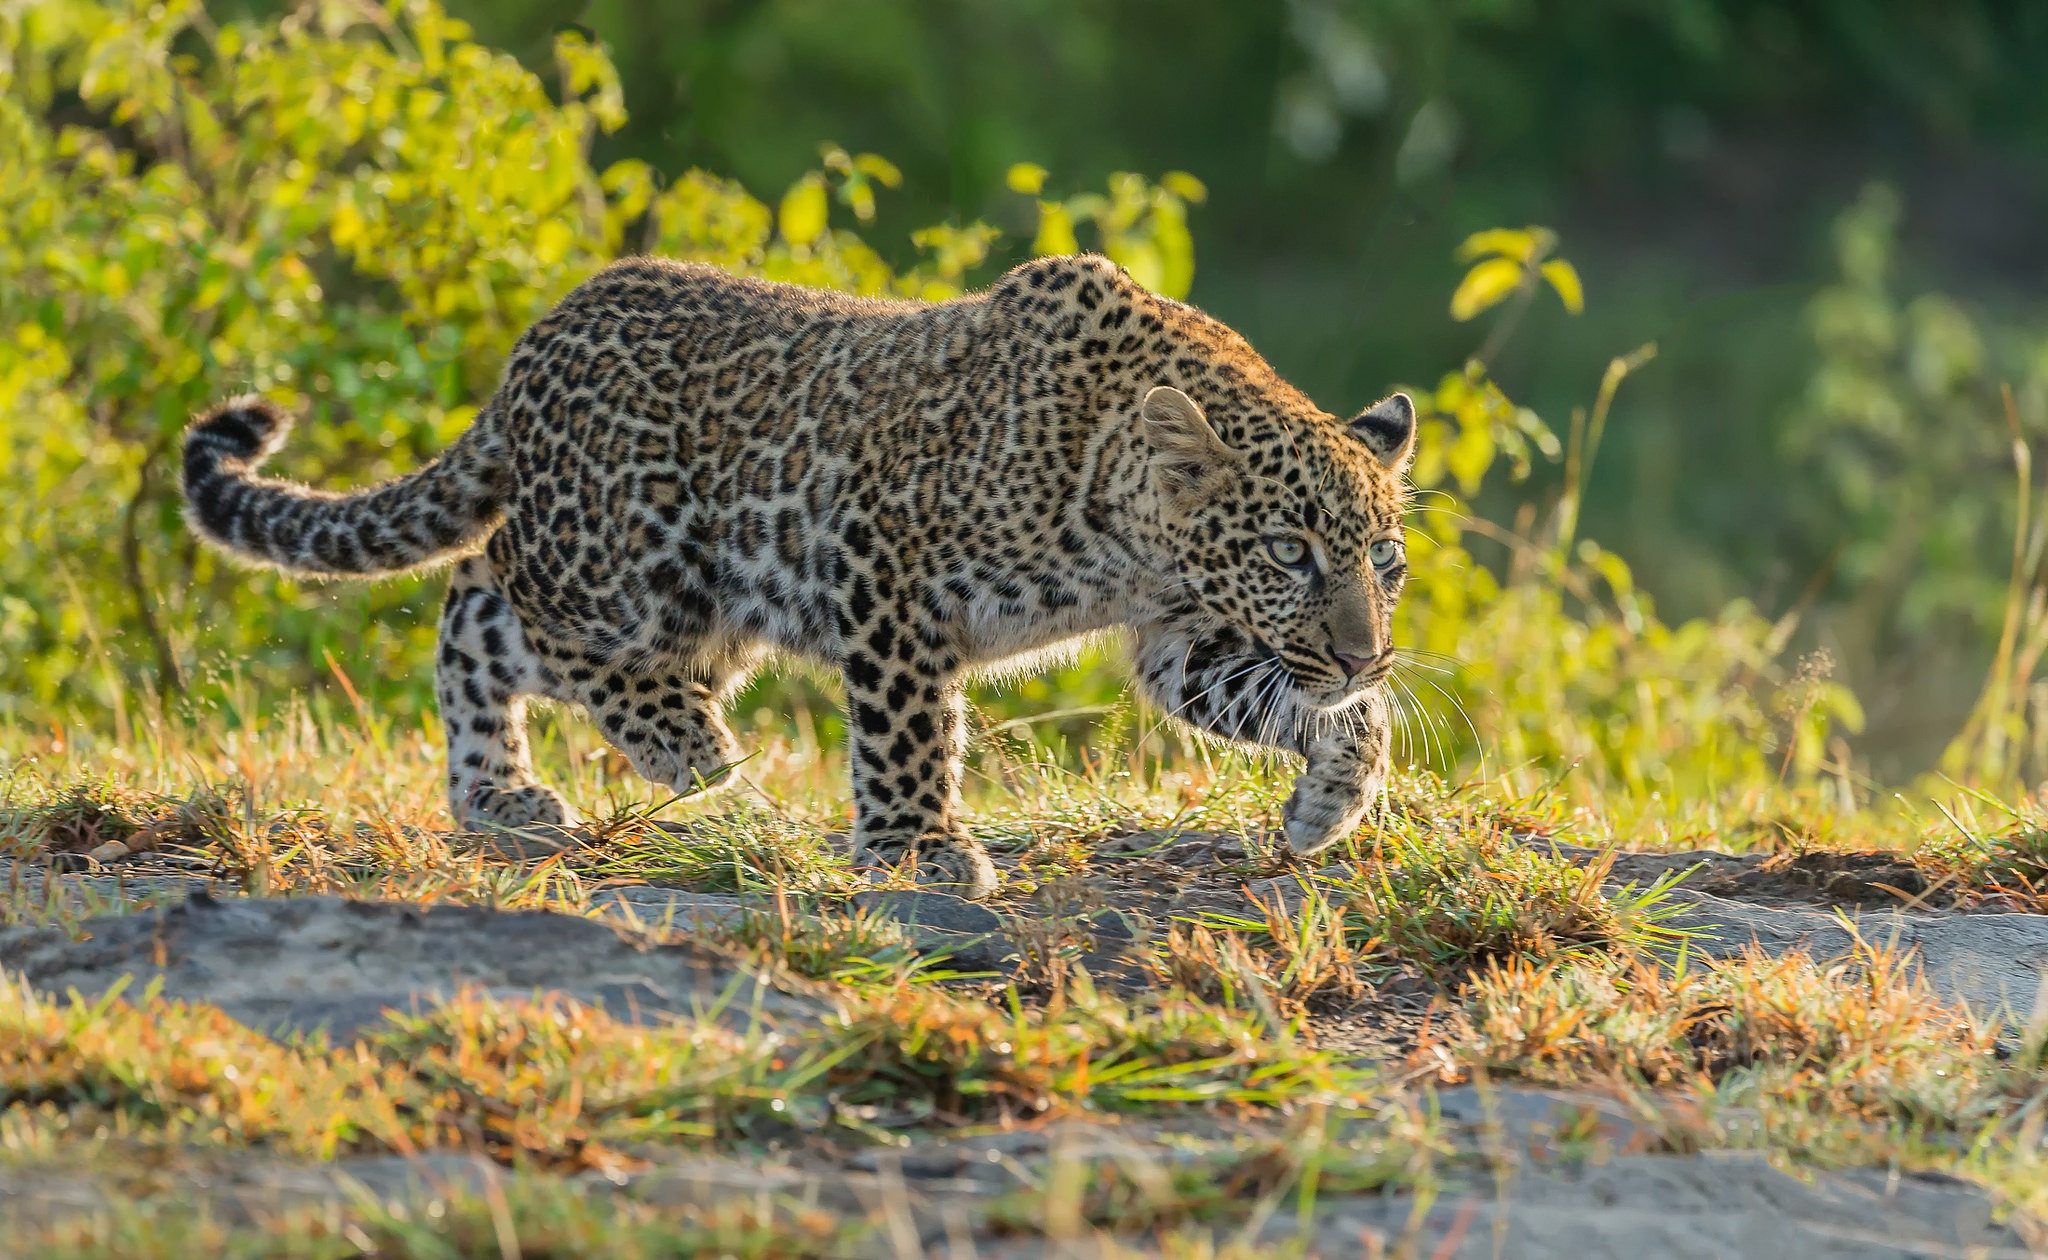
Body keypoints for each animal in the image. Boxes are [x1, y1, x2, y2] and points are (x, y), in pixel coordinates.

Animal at [184, 250, 1417, 901]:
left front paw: (1331, 798)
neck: (1127, 518)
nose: (1368, 651)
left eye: (1382, 560)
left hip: (678, 597)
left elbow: (1301, 706)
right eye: (1287, 551)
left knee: (478, 612)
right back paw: (683, 746)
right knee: (511, 604)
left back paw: (499, 796)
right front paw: (921, 848)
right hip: (637, 573)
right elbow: (909, 729)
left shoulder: (1177, 636)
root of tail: (536, 344)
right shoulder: (885, 568)